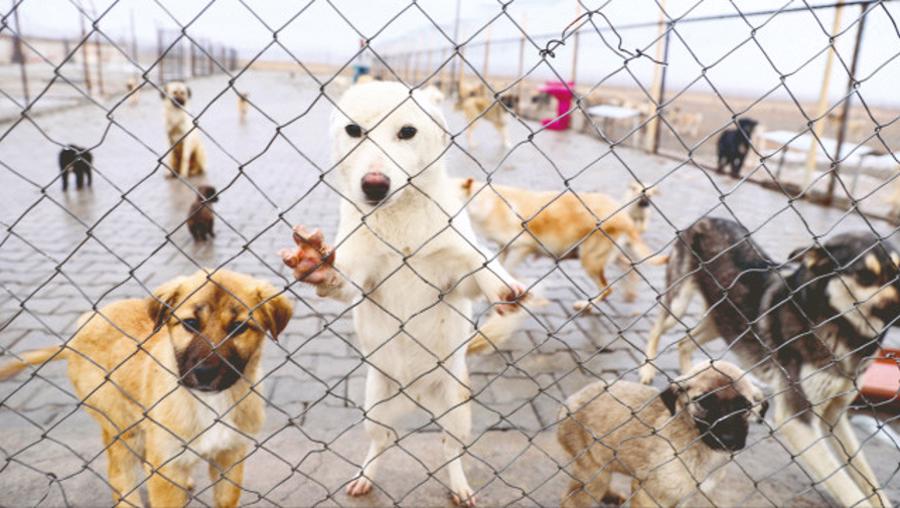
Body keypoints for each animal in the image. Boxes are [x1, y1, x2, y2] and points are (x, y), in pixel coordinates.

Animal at [0, 270, 292, 508]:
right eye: (190, 324)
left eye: (239, 327)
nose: (205, 373)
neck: (209, 402)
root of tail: (81, 328)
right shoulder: (166, 467)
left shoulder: (229, 457)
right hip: (120, 426)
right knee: (120, 476)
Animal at [458, 177, 660, 308]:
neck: (487, 202)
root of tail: (625, 218)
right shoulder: (504, 247)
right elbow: (497, 268)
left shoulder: (521, 248)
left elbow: (507, 269)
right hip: (607, 256)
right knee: (628, 268)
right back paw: (629, 293)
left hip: (590, 260)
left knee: (607, 289)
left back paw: (587, 305)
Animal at [564, 362, 768, 508]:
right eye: (704, 402)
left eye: (745, 407)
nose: (728, 440)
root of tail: (571, 400)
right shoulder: (648, 494)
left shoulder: (683, 497)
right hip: (592, 471)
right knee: (571, 499)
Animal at [640, 216, 900, 506]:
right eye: (866, 275)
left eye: (899, 271)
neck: (843, 329)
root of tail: (708, 218)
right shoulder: (797, 419)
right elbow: (848, 488)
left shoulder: (836, 415)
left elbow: (868, 479)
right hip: (679, 304)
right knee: (657, 328)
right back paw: (648, 370)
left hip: (722, 323)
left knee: (685, 342)